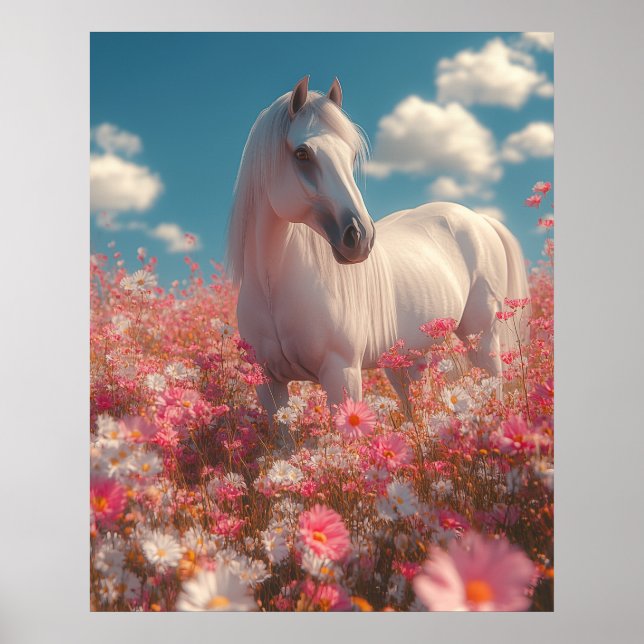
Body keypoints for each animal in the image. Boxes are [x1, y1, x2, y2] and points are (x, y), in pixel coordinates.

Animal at [227, 76, 530, 438]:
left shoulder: (341, 372)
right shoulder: (268, 385)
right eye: (302, 153)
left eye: (351, 155)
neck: (273, 288)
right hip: (406, 361)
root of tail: (478, 218)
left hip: (481, 338)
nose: (360, 237)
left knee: (491, 383)